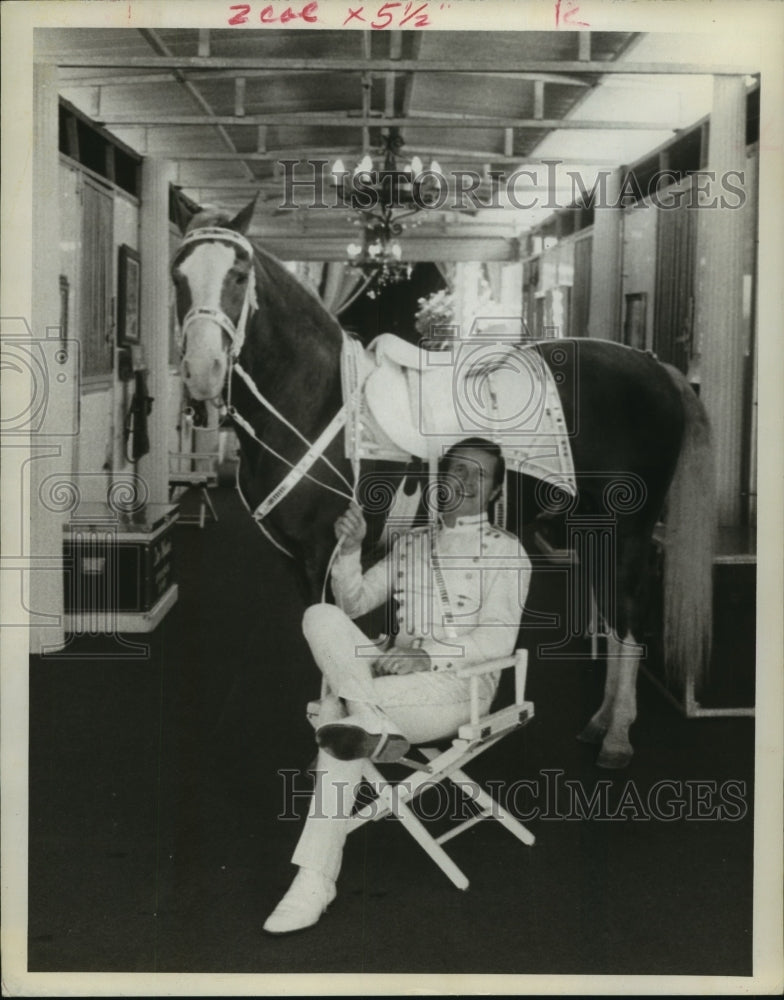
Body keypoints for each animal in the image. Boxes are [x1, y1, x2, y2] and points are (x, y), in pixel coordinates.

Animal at [172, 197, 716, 772]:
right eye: (178, 275)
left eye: (238, 274)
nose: (202, 370)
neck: (318, 400)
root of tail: (653, 366)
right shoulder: (297, 561)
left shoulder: (322, 554)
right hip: (595, 529)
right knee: (611, 616)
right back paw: (601, 720)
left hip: (631, 530)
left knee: (630, 618)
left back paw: (617, 736)